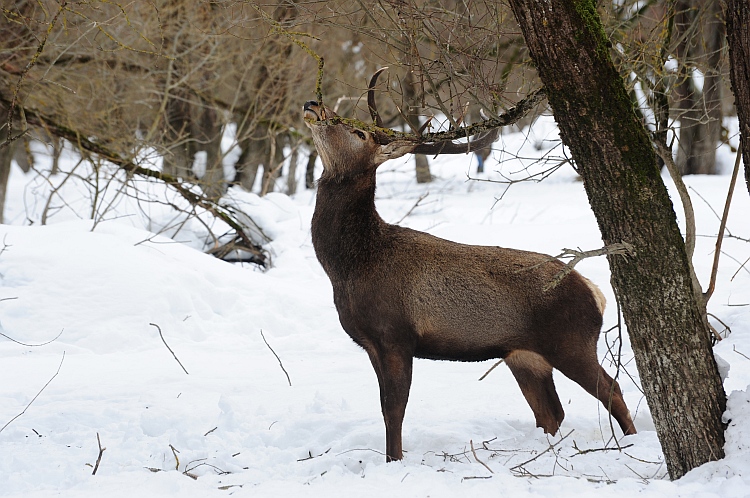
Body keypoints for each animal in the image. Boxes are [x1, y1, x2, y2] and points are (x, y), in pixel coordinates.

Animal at [302, 69, 636, 460]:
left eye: (359, 133)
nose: (313, 104)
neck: (349, 266)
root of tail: (596, 292)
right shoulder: (370, 343)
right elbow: (385, 408)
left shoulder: (395, 335)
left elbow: (394, 409)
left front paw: (394, 460)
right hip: (525, 356)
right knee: (551, 411)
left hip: (571, 341)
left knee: (612, 389)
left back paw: (632, 442)